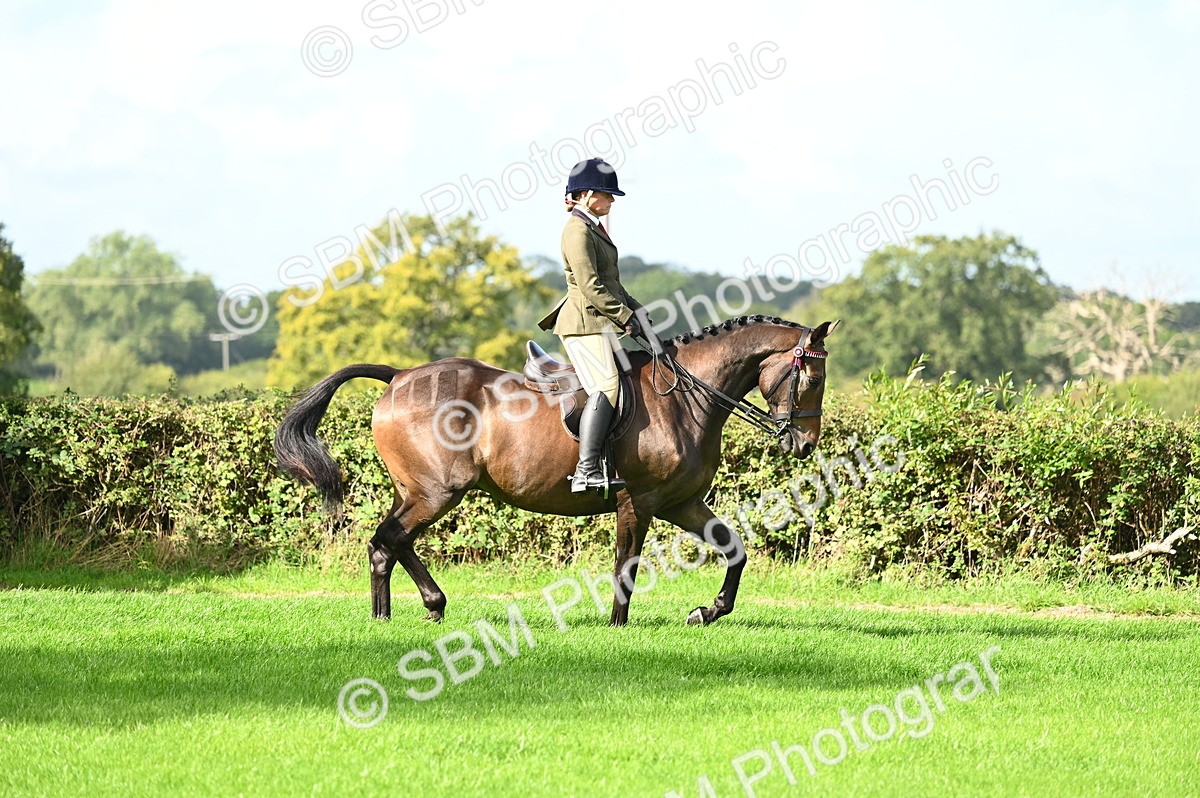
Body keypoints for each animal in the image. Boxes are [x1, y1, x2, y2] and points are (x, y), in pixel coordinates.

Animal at [273, 315, 838, 626]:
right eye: (811, 377)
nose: (804, 444)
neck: (684, 398)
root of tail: (399, 375)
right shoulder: (639, 502)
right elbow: (626, 565)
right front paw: (617, 625)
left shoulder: (680, 502)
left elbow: (735, 549)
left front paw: (708, 611)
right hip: (437, 491)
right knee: (387, 539)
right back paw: (397, 612)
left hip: (419, 491)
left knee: (392, 541)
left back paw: (416, 608)